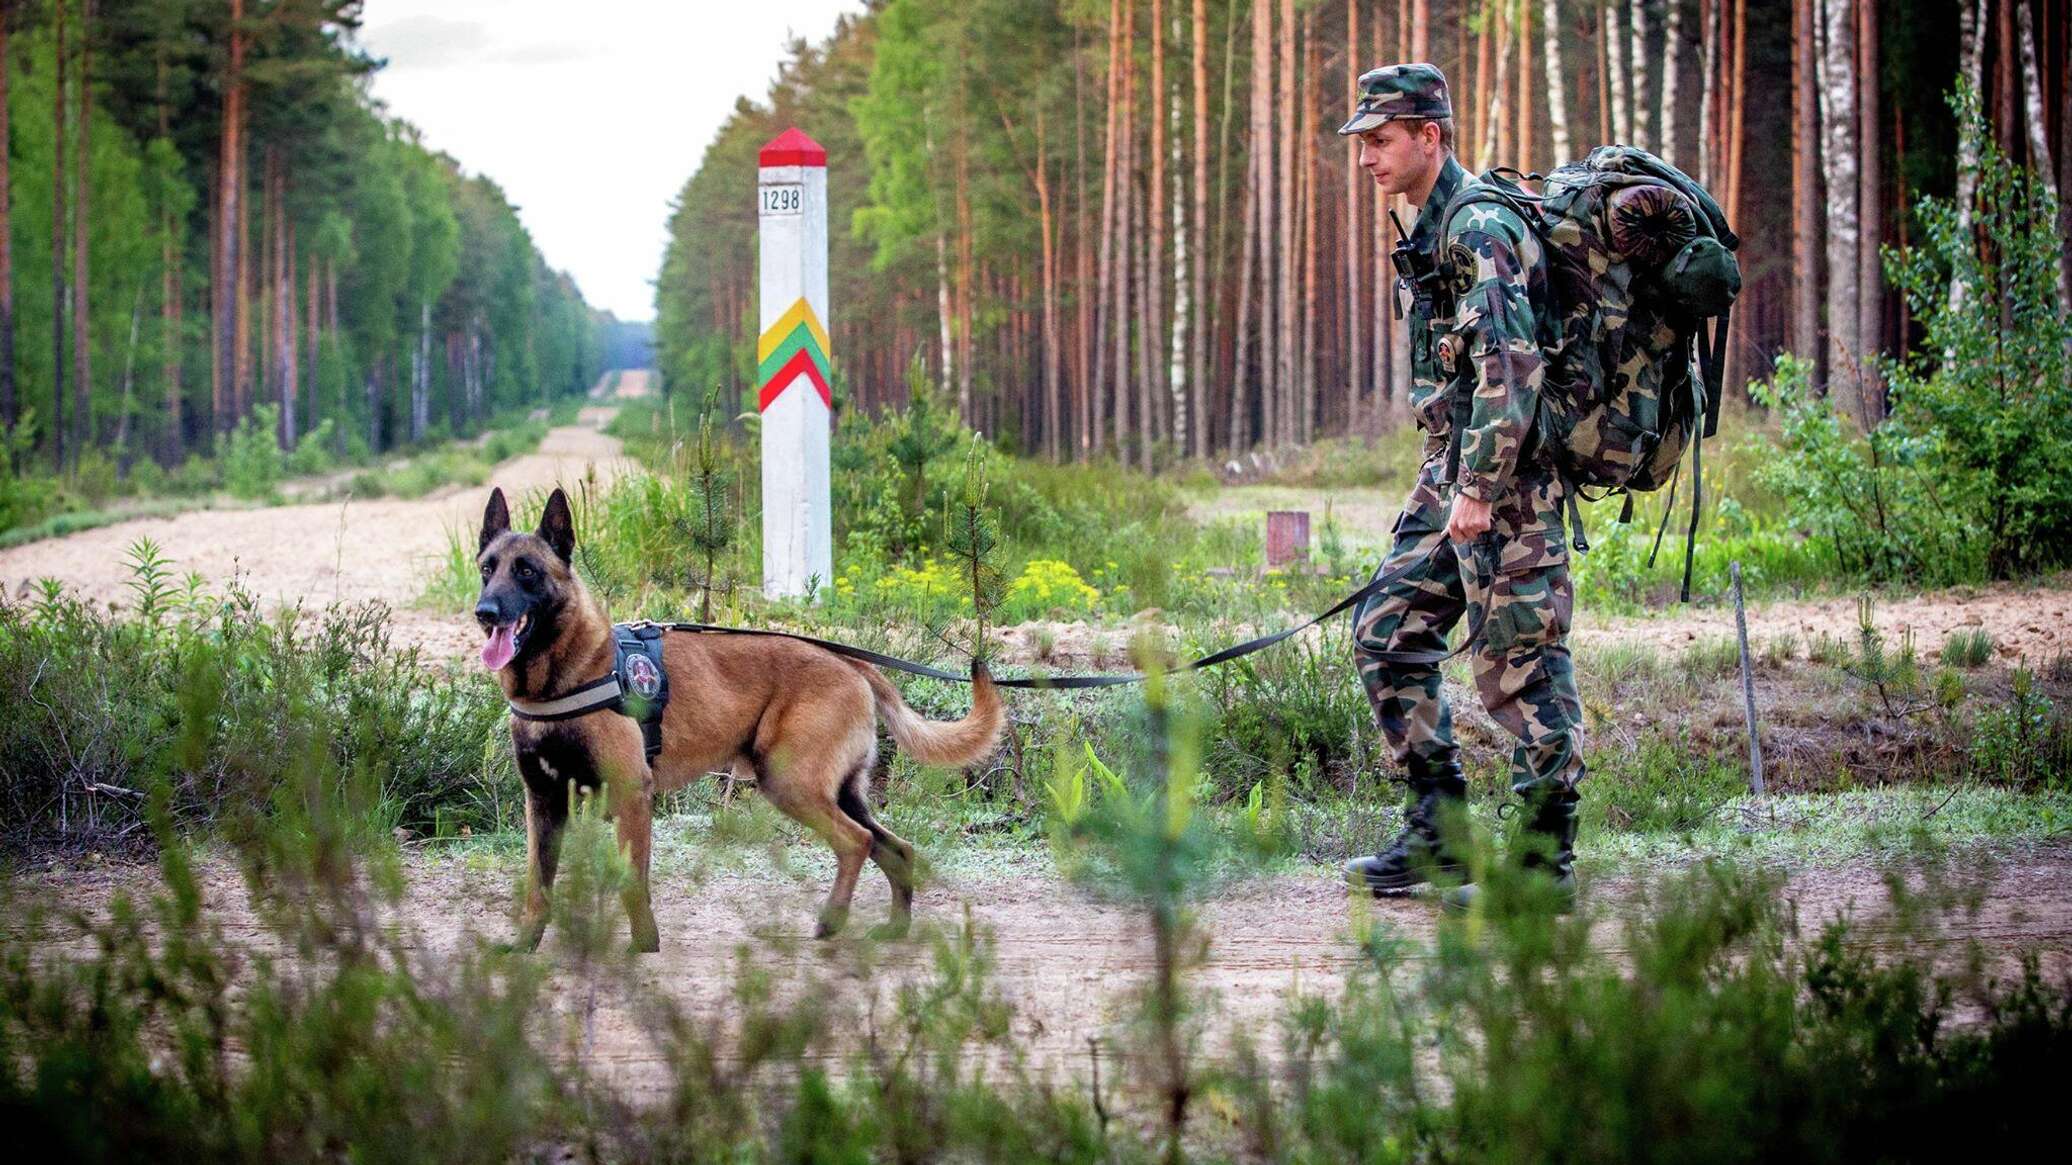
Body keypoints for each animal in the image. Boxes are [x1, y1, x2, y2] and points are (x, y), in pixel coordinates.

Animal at [472, 480, 1002, 945]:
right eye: (486, 569)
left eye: (527, 571)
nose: (485, 612)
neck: (562, 675)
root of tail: (849, 660)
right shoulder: (544, 803)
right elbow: (538, 888)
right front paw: (526, 946)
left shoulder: (631, 794)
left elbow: (632, 884)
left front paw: (644, 948)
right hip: (839, 792)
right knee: (896, 848)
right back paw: (895, 929)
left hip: (790, 784)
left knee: (856, 843)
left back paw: (832, 921)